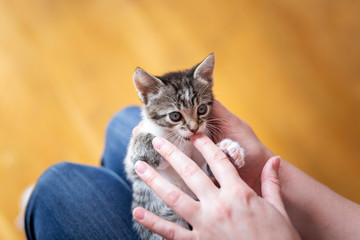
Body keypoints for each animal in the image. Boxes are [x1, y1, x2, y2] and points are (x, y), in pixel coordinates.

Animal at [124, 54, 245, 240]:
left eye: (201, 109)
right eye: (175, 116)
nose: (194, 128)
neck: (182, 142)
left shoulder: (207, 175)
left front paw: (229, 150)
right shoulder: (133, 167)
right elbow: (137, 144)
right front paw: (155, 147)